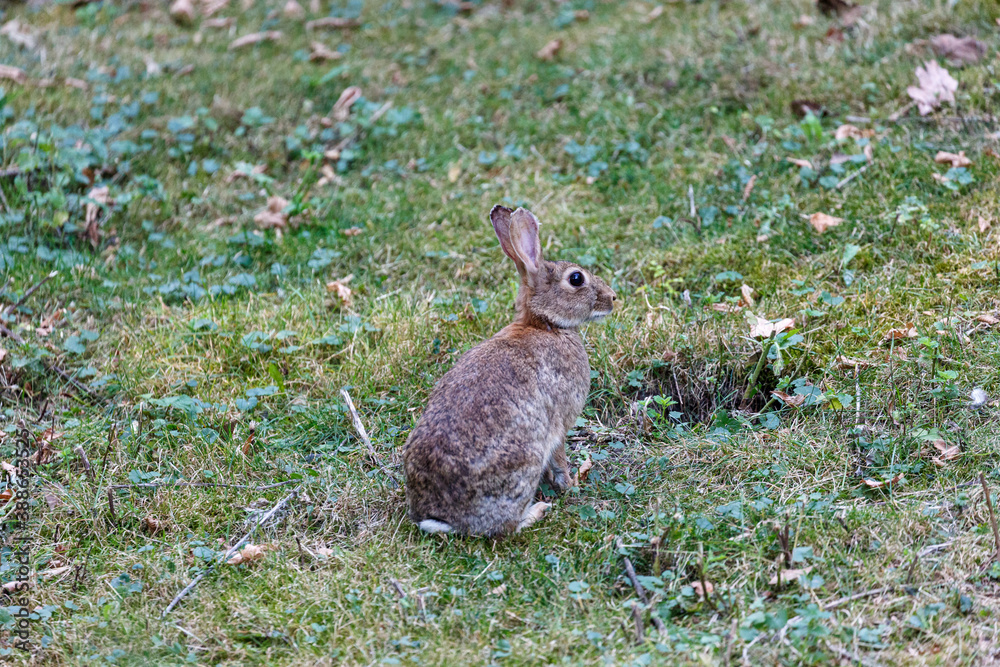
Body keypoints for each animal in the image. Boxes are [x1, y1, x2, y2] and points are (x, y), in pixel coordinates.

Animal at [402, 205, 617, 537]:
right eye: (576, 278)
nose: (613, 297)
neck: (545, 323)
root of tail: (442, 516)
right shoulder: (560, 424)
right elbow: (559, 459)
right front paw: (571, 484)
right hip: (524, 462)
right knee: (506, 527)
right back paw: (537, 511)